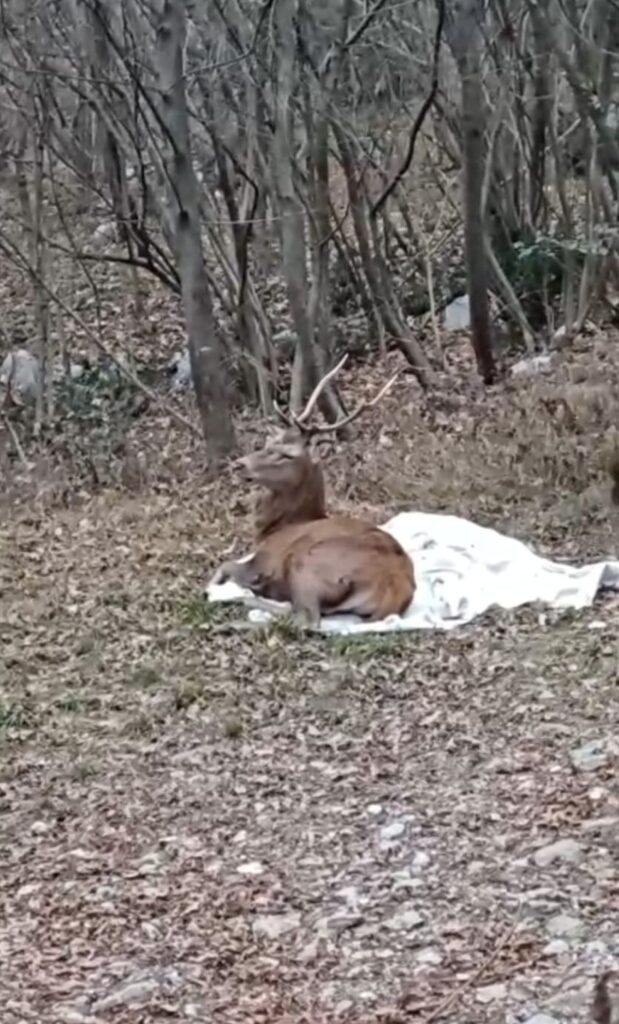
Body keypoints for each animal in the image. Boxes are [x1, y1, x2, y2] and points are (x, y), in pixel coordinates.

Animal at [210, 356, 416, 627]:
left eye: (287, 455)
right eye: (268, 443)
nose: (239, 464)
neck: (276, 527)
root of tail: (393, 591)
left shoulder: (261, 560)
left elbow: (225, 565)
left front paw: (214, 588)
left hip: (305, 563)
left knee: (306, 618)